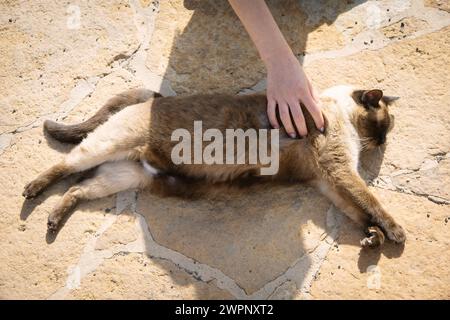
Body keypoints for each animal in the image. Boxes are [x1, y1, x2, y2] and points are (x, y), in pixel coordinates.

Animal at [22, 86, 406, 249]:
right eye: (384, 126)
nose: (383, 142)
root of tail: (152, 97)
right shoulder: (339, 172)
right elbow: (373, 203)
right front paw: (394, 234)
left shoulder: (328, 182)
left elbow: (359, 212)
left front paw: (373, 237)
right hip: (104, 149)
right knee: (64, 166)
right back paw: (32, 192)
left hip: (126, 176)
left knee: (78, 188)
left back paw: (54, 221)